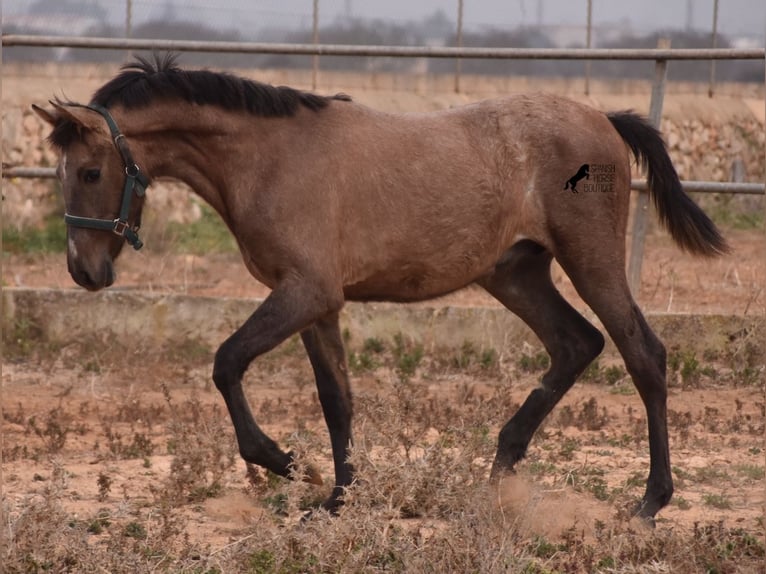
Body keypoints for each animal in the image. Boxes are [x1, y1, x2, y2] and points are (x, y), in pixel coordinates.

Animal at [33, 55, 728, 528]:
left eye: (90, 172)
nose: (83, 271)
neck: (268, 157)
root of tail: (603, 117)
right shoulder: (319, 305)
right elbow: (336, 399)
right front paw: (339, 499)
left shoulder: (305, 293)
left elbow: (227, 363)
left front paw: (288, 463)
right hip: (515, 272)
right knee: (575, 344)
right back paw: (496, 479)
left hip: (592, 261)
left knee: (643, 355)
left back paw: (648, 502)